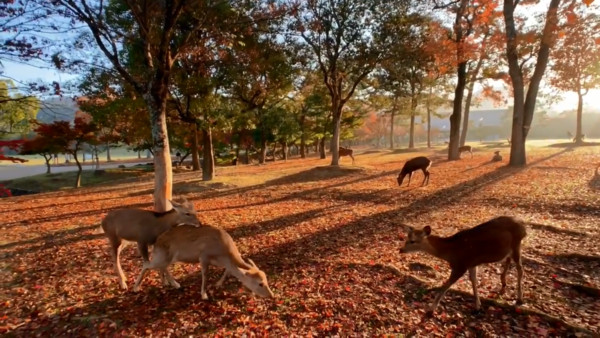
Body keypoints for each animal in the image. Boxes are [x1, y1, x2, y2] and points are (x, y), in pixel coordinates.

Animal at [134, 223, 274, 300]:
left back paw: (172, 284)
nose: (271, 295)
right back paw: (136, 287)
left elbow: (227, 271)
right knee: (147, 264)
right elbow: (205, 275)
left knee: (162, 267)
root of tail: (156, 242)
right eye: (260, 283)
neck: (223, 253)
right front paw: (204, 295)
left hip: (167, 258)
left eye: (267, 279)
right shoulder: (204, 257)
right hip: (161, 256)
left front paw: (218, 284)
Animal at [400, 217, 528, 314]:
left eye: (412, 241)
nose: (401, 250)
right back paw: (503, 282)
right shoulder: (471, 263)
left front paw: (431, 309)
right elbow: (474, 281)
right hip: (509, 249)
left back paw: (520, 298)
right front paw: (478, 306)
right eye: (406, 238)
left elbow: (446, 285)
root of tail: (524, 227)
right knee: (508, 260)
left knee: (520, 269)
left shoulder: (460, 265)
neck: (451, 253)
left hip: (516, 244)